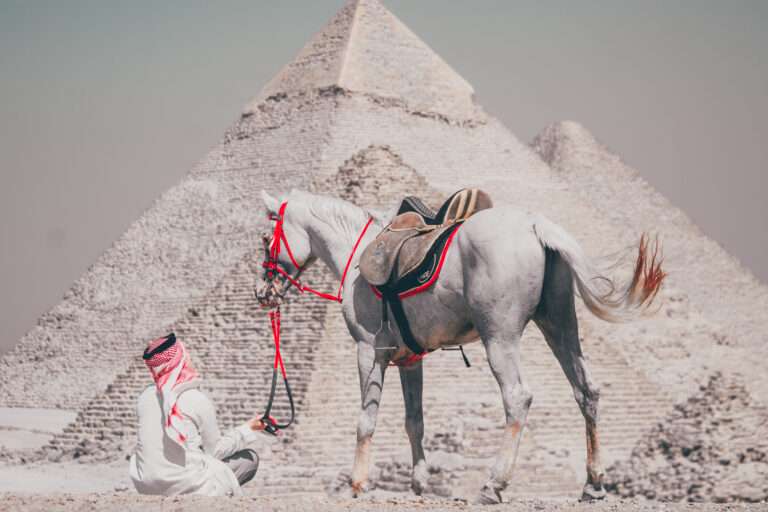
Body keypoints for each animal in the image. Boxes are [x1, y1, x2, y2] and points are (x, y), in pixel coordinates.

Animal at [255, 188, 665, 503]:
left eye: (264, 238)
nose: (262, 292)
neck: (355, 256)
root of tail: (536, 224)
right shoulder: (410, 359)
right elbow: (414, 421)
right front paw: (419, 483)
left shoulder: (370, 351)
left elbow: (365, 420)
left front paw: (357, 483)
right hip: (559, 323)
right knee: (586, 390)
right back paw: (593, 484)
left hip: (499, 335)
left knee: (518, 397)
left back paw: (493, 483)